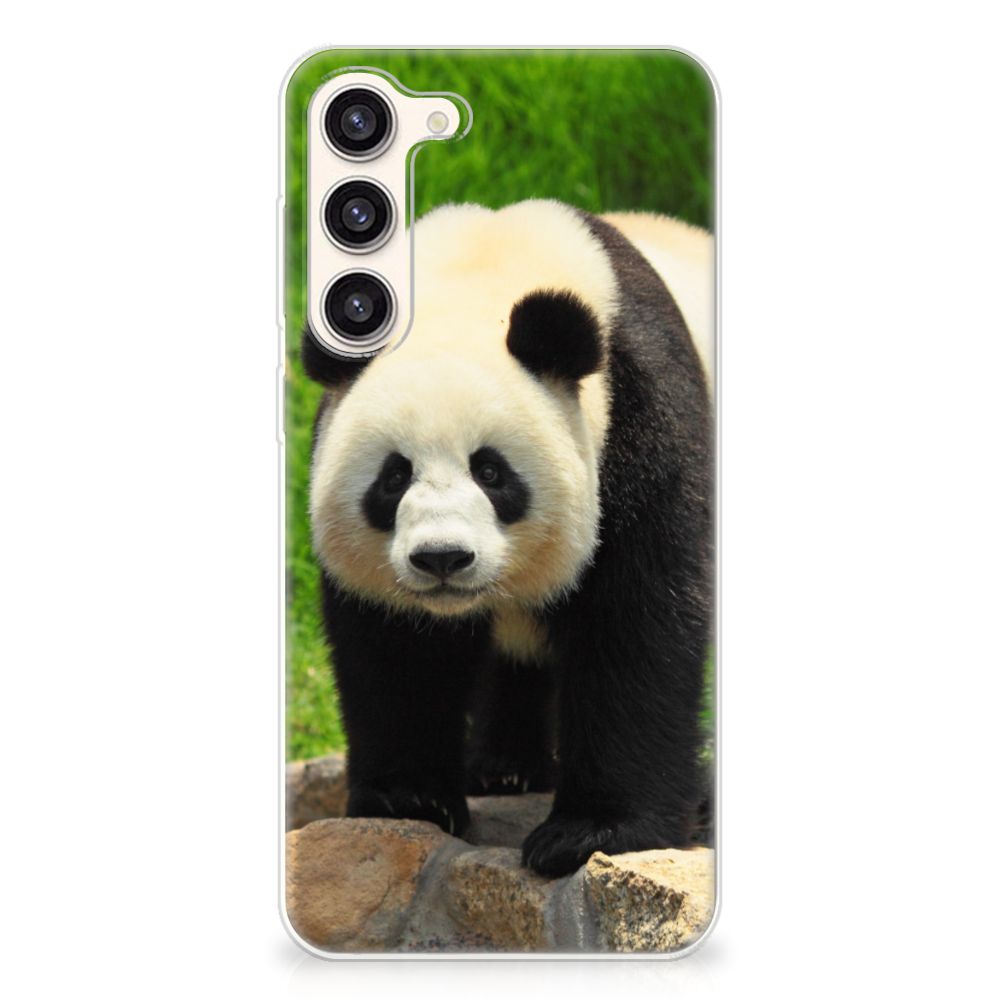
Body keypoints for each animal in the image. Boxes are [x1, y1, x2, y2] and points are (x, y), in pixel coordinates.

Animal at [302, 200, 714, 877]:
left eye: (491, 472)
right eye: (393, 477)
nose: (442, 558)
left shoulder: (641, 418)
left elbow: (638, 621)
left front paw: (590, 832)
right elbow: (396, 649)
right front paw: (408, 799)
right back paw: (504, 768)